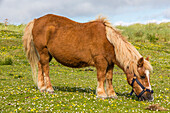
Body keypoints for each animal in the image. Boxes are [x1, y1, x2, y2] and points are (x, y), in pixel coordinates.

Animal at [21, 14, 153, 100]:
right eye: (142, 76)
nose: (150, 96)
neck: (108, 41)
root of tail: (36, 20)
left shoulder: (110, 63)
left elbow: (109, 78)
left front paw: (112, 94)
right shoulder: (100, 61)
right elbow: (101, 77)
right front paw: (101, 94)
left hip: (47, 54)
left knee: (40, 66)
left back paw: (42, 87)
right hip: (43, 52)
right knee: (46, 69)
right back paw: (49, 88)